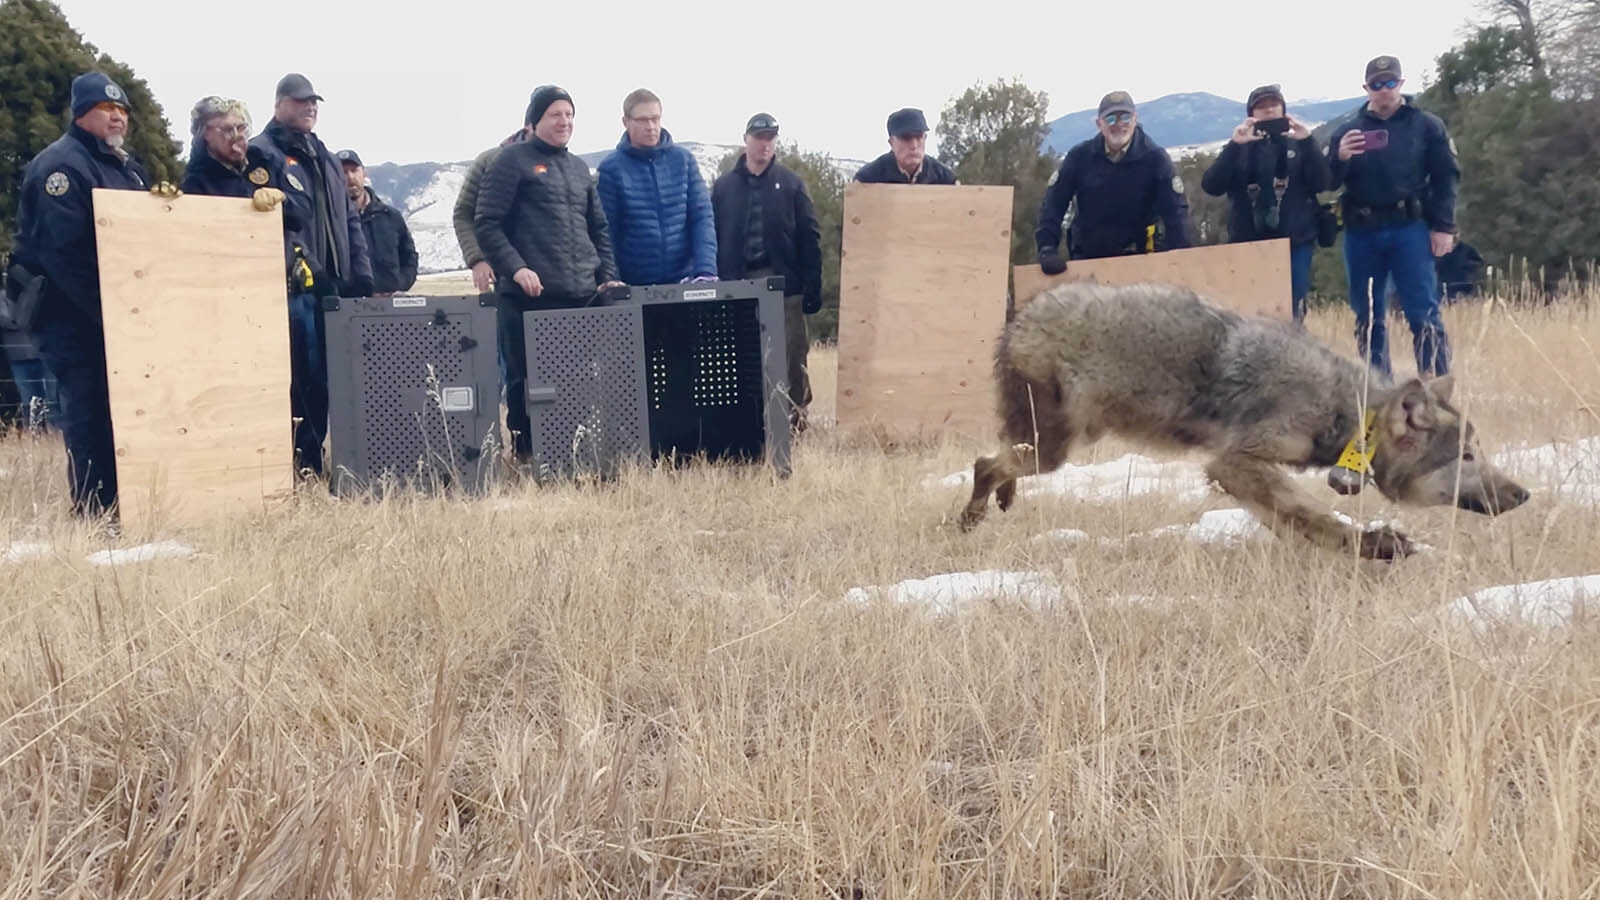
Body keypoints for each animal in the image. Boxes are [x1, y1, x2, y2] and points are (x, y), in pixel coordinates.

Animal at [953, 283, 1529, 557]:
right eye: (1468, 456)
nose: (1525, 494)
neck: (1347, 411)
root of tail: (1018, 318)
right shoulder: (1233, 464)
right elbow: (1314, 517)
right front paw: (1376, 546)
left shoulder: (1242, 475)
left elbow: (1295, 519)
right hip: (1054, 451)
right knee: (985, 463)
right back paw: (972, 517)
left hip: (1051, 447)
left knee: (997, 459)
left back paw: (1002, 502)